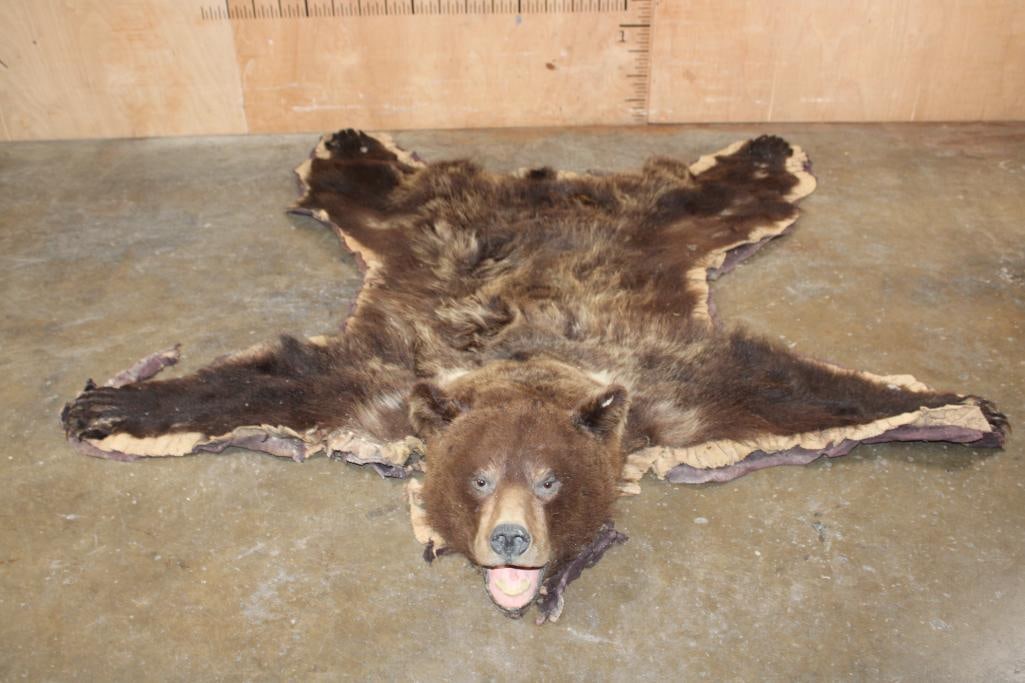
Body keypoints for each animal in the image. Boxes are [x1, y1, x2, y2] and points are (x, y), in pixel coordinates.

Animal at [61, 130, 1006, 619]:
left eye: (550, 482)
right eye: (478, 479)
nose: (512, 539)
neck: (522, 365)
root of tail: (545, 185)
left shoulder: (676, 389)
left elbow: (798, 390)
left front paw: (959, 404)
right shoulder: (383, 381)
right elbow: (265, 379)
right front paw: (110, 401)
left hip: (661, 227)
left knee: (708, 199)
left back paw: (765, 151)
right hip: (420, 227)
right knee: (380, 193)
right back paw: (351, 144)